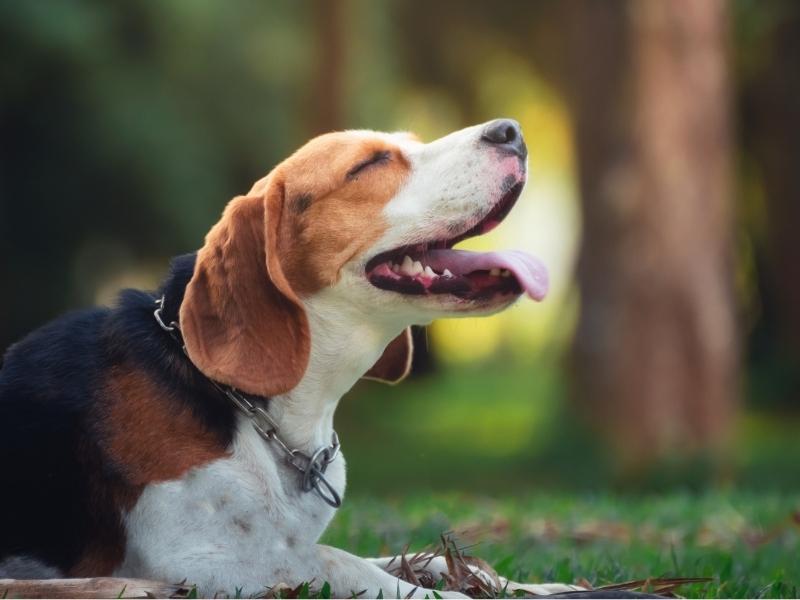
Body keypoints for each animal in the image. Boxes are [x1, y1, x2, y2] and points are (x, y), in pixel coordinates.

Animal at [0, 119, 576, 596]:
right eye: (370, 164)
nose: (511, 131)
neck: (267, 413)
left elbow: (428, 560)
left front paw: (539, 587)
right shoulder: (210, 560)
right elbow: (343, 562)